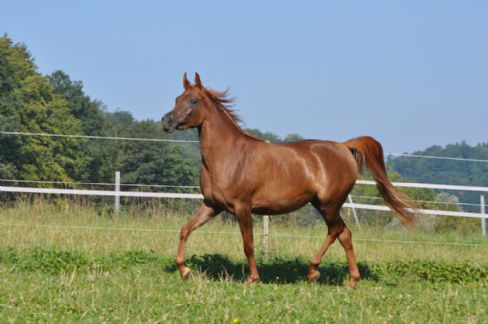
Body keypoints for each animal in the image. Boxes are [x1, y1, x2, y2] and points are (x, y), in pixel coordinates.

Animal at [162, 73, 414, 286]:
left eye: (193, 100)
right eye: (176, 98)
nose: (166, 121)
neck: (229, 156)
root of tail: (343, 147)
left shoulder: (243, 207)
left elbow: (248, 245)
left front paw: (252, 278)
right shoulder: (212, 205)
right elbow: (185, 230)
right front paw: (184, 271)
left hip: (329, 204)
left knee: (336, 231)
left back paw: (313, 272)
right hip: (322, 205)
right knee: (345, 235)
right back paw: (351, 280)